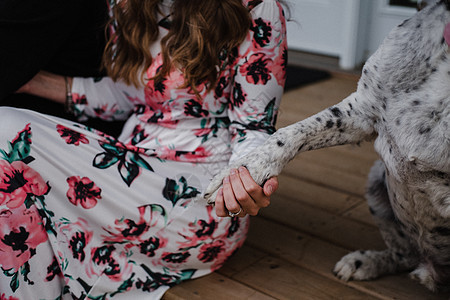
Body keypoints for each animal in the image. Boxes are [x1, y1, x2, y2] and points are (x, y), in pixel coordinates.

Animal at [205, 0, 450, 290]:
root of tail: (432, 270)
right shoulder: (362, 111)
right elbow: (291, 133)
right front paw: (239, 174)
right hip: (377, 181)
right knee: (405, 253)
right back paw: (365, 262)